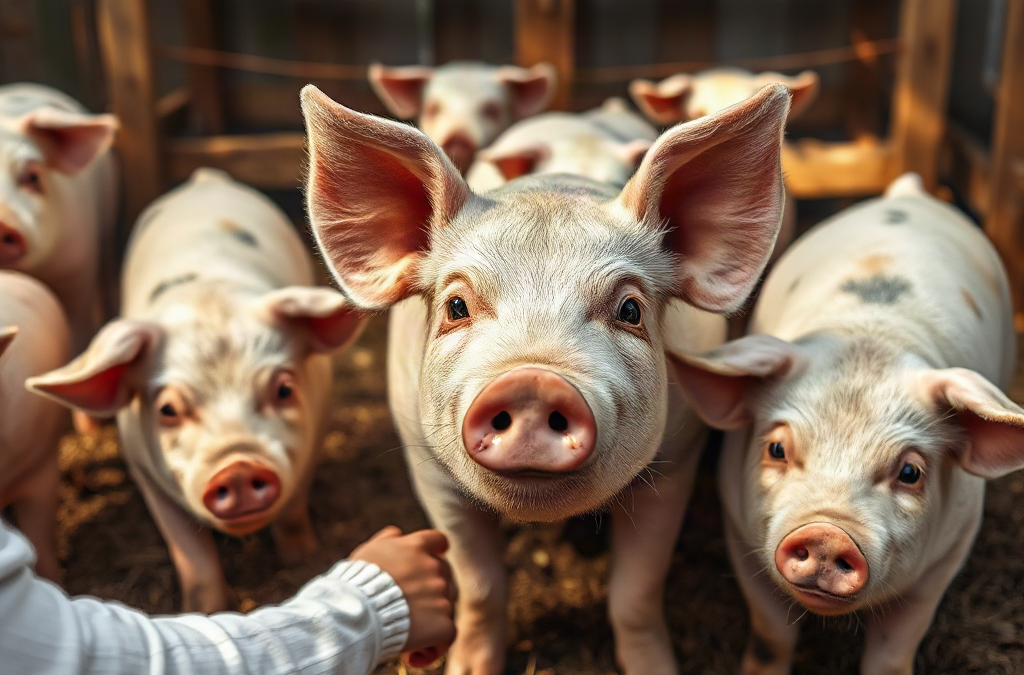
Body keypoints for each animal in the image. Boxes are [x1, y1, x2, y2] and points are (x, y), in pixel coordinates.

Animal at [28, 168, 366, 613]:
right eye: (168, 410)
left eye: (284, 389)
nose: (239, 467)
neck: (209, 298)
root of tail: (206, 178)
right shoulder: (145, 470)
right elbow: (193, 556)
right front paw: (203, 610)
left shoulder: (314, 433)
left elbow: (293, 512)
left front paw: (302, 559)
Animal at [669, 173, 1024, 675]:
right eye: (777, 449)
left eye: (910, 472)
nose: (826, 533)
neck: (871, 334)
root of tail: (908, 194)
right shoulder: (739, 530)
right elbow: (771, 635)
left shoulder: (946, 556)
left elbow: (893, 651)